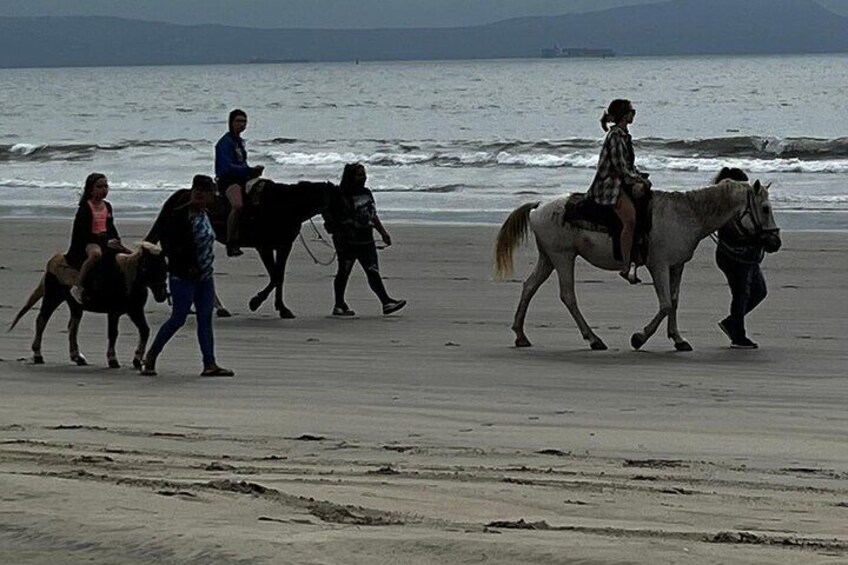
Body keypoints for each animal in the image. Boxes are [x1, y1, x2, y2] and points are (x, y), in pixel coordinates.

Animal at [496, 180, 780, 348]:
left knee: (529, 287)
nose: (775, 241)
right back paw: (594, 339)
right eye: (765, 208)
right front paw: (639, 338)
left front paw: (678, 339)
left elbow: (674, 301)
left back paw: (521, 335)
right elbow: (665, 304)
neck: (687, 214)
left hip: (549, 258)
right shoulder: (659, 265)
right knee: (568, 296)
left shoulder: (676, 266)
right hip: (563, 257)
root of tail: (538, 206)